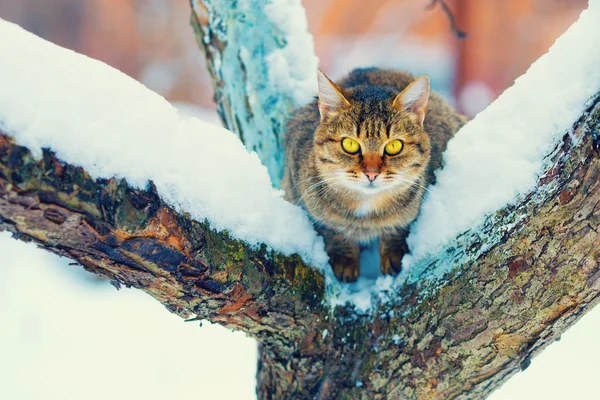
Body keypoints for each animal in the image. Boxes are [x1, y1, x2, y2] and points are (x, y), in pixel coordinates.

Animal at [282, 68, 468, 282]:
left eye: (394, 146)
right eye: (350, 144)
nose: (371, 173)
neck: (366, 213)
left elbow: (397, 228)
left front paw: (394, 255)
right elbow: (333, 230)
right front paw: (344, 258)